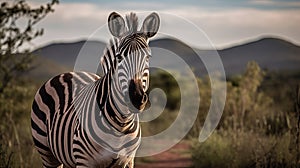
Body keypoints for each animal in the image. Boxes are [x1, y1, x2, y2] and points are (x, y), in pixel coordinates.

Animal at [31, 11, 159, 167]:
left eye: (148, 57)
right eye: (119, 57)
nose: (136, 97)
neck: (121, 124)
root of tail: (68, 73)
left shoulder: (128, 161)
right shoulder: (84, 161)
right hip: (46, 152)